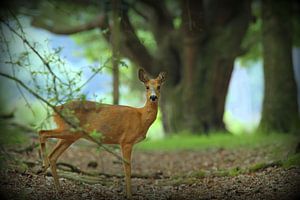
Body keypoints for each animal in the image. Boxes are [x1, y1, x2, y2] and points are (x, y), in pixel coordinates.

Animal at [38, 69, 166, 198]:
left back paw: (58, 189)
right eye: (147, 87)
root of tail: (56, 109)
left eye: (159, 86)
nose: (153, 97)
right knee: (42, 132)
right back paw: (44, 166)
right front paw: (129, 195)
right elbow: (127, 169)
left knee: (53, 155)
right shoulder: (126, 141)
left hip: (71, 135)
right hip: (70, 129)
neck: (141, 117)